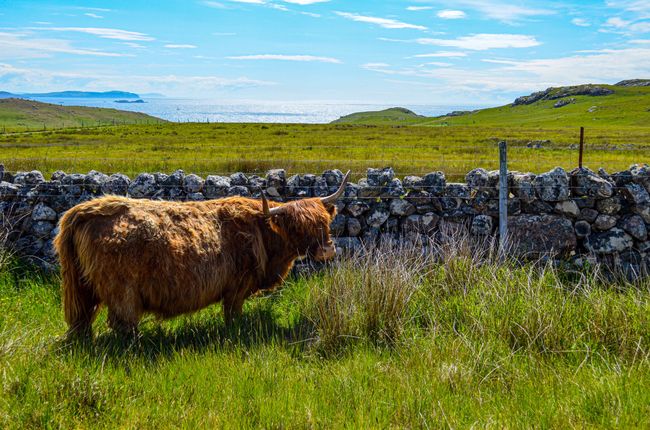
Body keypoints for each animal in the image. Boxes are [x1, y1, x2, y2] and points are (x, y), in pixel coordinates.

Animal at [54, 170, 350, 336]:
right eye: (297, 227)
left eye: (325, 222)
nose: (327, 250)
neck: (263, 231)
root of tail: (85, 210)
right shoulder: (237, 287)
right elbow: (232, 316)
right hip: (121, 290)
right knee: (122, 323)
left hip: (80, 288)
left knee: (81, 321)